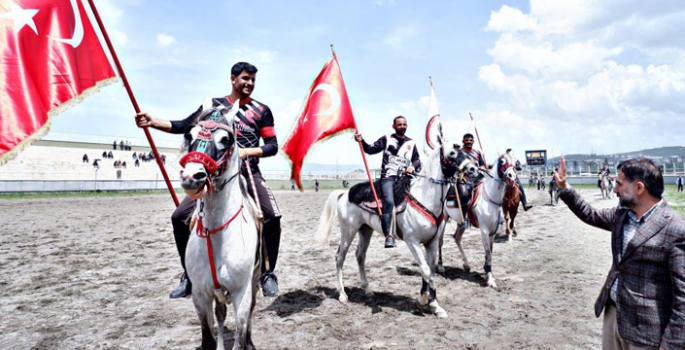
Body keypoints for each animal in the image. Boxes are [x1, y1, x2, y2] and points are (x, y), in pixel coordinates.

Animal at [180, 100, 260, 348]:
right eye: (189, 134)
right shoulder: (200, 295)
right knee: (221, 314)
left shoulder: (241, 292)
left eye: (226, 139)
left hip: (255, 280)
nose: (191, 177)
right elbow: (209, 333)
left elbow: (240, 336)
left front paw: (245, 341)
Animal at [316, 138, 476, 318]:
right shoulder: (412, 241)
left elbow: (430, 273)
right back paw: (343, 294)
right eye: (452, 153)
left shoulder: (432, 243)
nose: (473, 168)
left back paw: (368, 290)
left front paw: (435, 306)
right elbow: (426, 271)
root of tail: (345, 193)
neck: (425, 198)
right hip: (348, 231)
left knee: (360, 256)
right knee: (340, 258)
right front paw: (420, 303)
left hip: (365, 230)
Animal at [440, 154, 516, 288]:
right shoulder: (484, 230)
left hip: (460, 223)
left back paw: (466, 265)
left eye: (515, 161)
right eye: (502, 161)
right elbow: (488, 253)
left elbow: (490, 252)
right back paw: (440, 266)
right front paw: (490, 279)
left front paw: (487, 272)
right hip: (443, 219)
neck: (489, 199)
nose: (512, 176)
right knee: (440, 241)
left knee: (457, 238)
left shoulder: (493, 231)